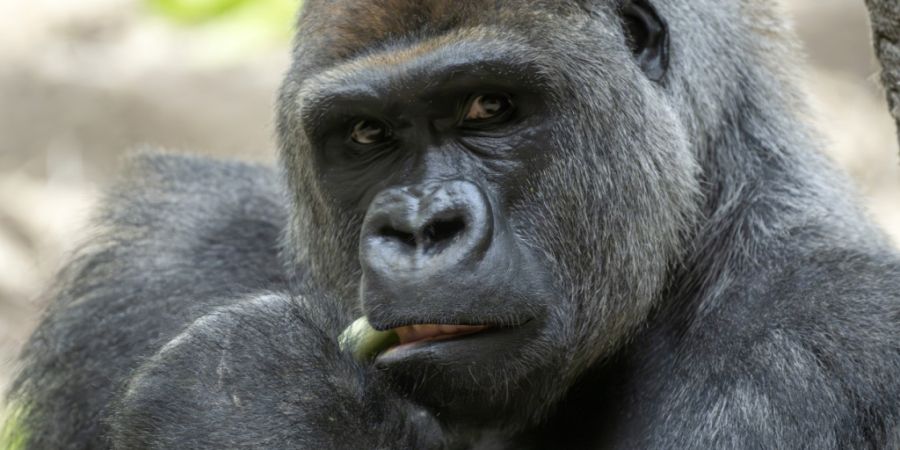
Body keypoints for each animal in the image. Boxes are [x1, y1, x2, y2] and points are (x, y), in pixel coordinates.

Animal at [4, 0, 900, 448]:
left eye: (489, 107)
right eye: (367, 134)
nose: (420, 227)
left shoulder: (829, 339)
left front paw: (250, 396)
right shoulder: (170, 258)